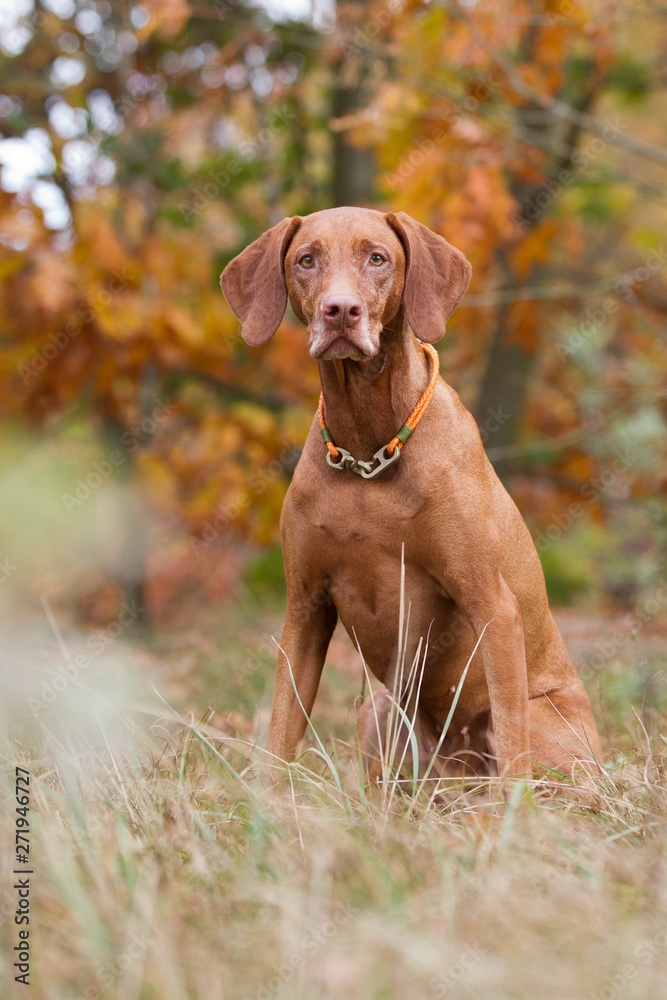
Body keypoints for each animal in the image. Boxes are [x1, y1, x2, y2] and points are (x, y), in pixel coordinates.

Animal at [222, 207, 604, 784]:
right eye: (306, 260)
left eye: (377, 257)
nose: (341, 311)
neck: (367, 452)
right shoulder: (305, 611)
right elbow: (280, 735)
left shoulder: (493, 607)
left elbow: (514, 759)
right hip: (378, 711)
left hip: (534, 726)